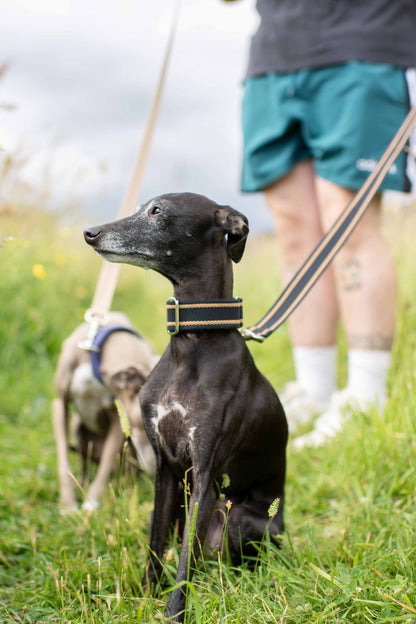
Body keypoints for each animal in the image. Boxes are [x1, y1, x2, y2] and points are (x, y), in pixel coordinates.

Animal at [50, 312, 158, 512]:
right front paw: (68, 505)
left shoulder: (117, 417)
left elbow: (105, 466)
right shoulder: (60, 404)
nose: (156, 473)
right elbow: (63, 462)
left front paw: (91, 503)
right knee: (84, 461)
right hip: (78, 428)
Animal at [83, 193, 288, 620]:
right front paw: (146, 596)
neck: (192, 343)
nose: (90, 233)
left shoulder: (206, 478)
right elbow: (156, 543)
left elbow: (182, 565)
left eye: (158, 211)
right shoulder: (165, 471)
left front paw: (173, 613)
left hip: (238, 518)